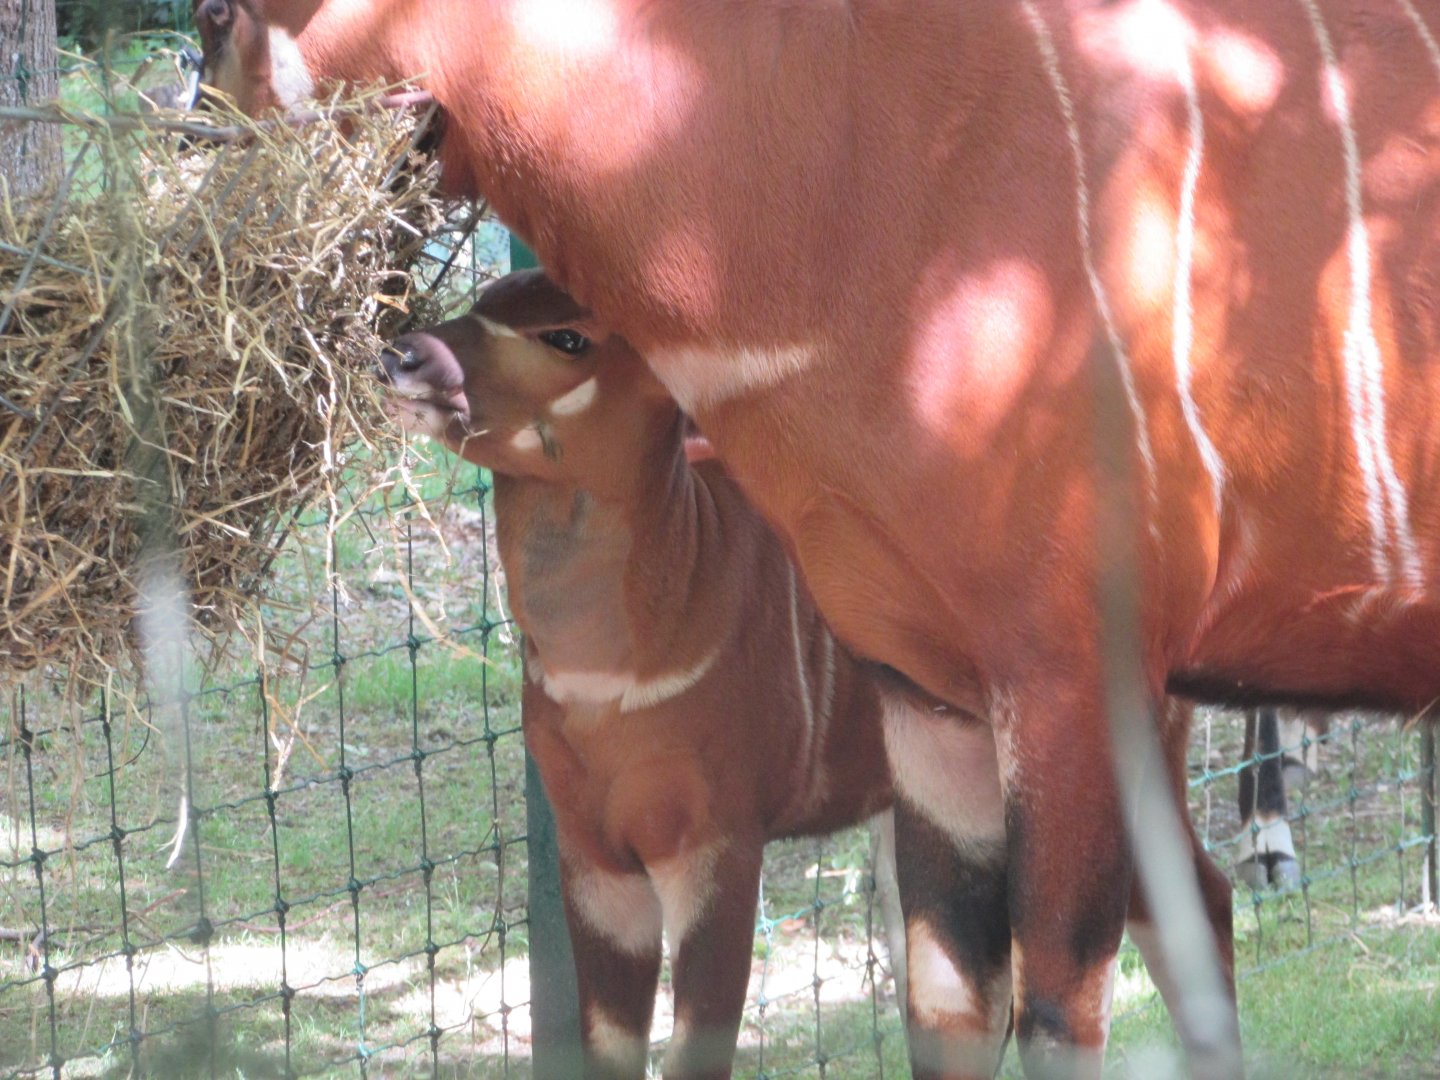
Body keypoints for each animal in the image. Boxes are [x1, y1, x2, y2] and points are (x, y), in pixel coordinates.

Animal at [195, 1, 1440, 1076]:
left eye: (215, 17)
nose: (202, 157)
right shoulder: (928, 696)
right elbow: (943, 1005)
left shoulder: (1066, 680)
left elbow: (1047, 1017)